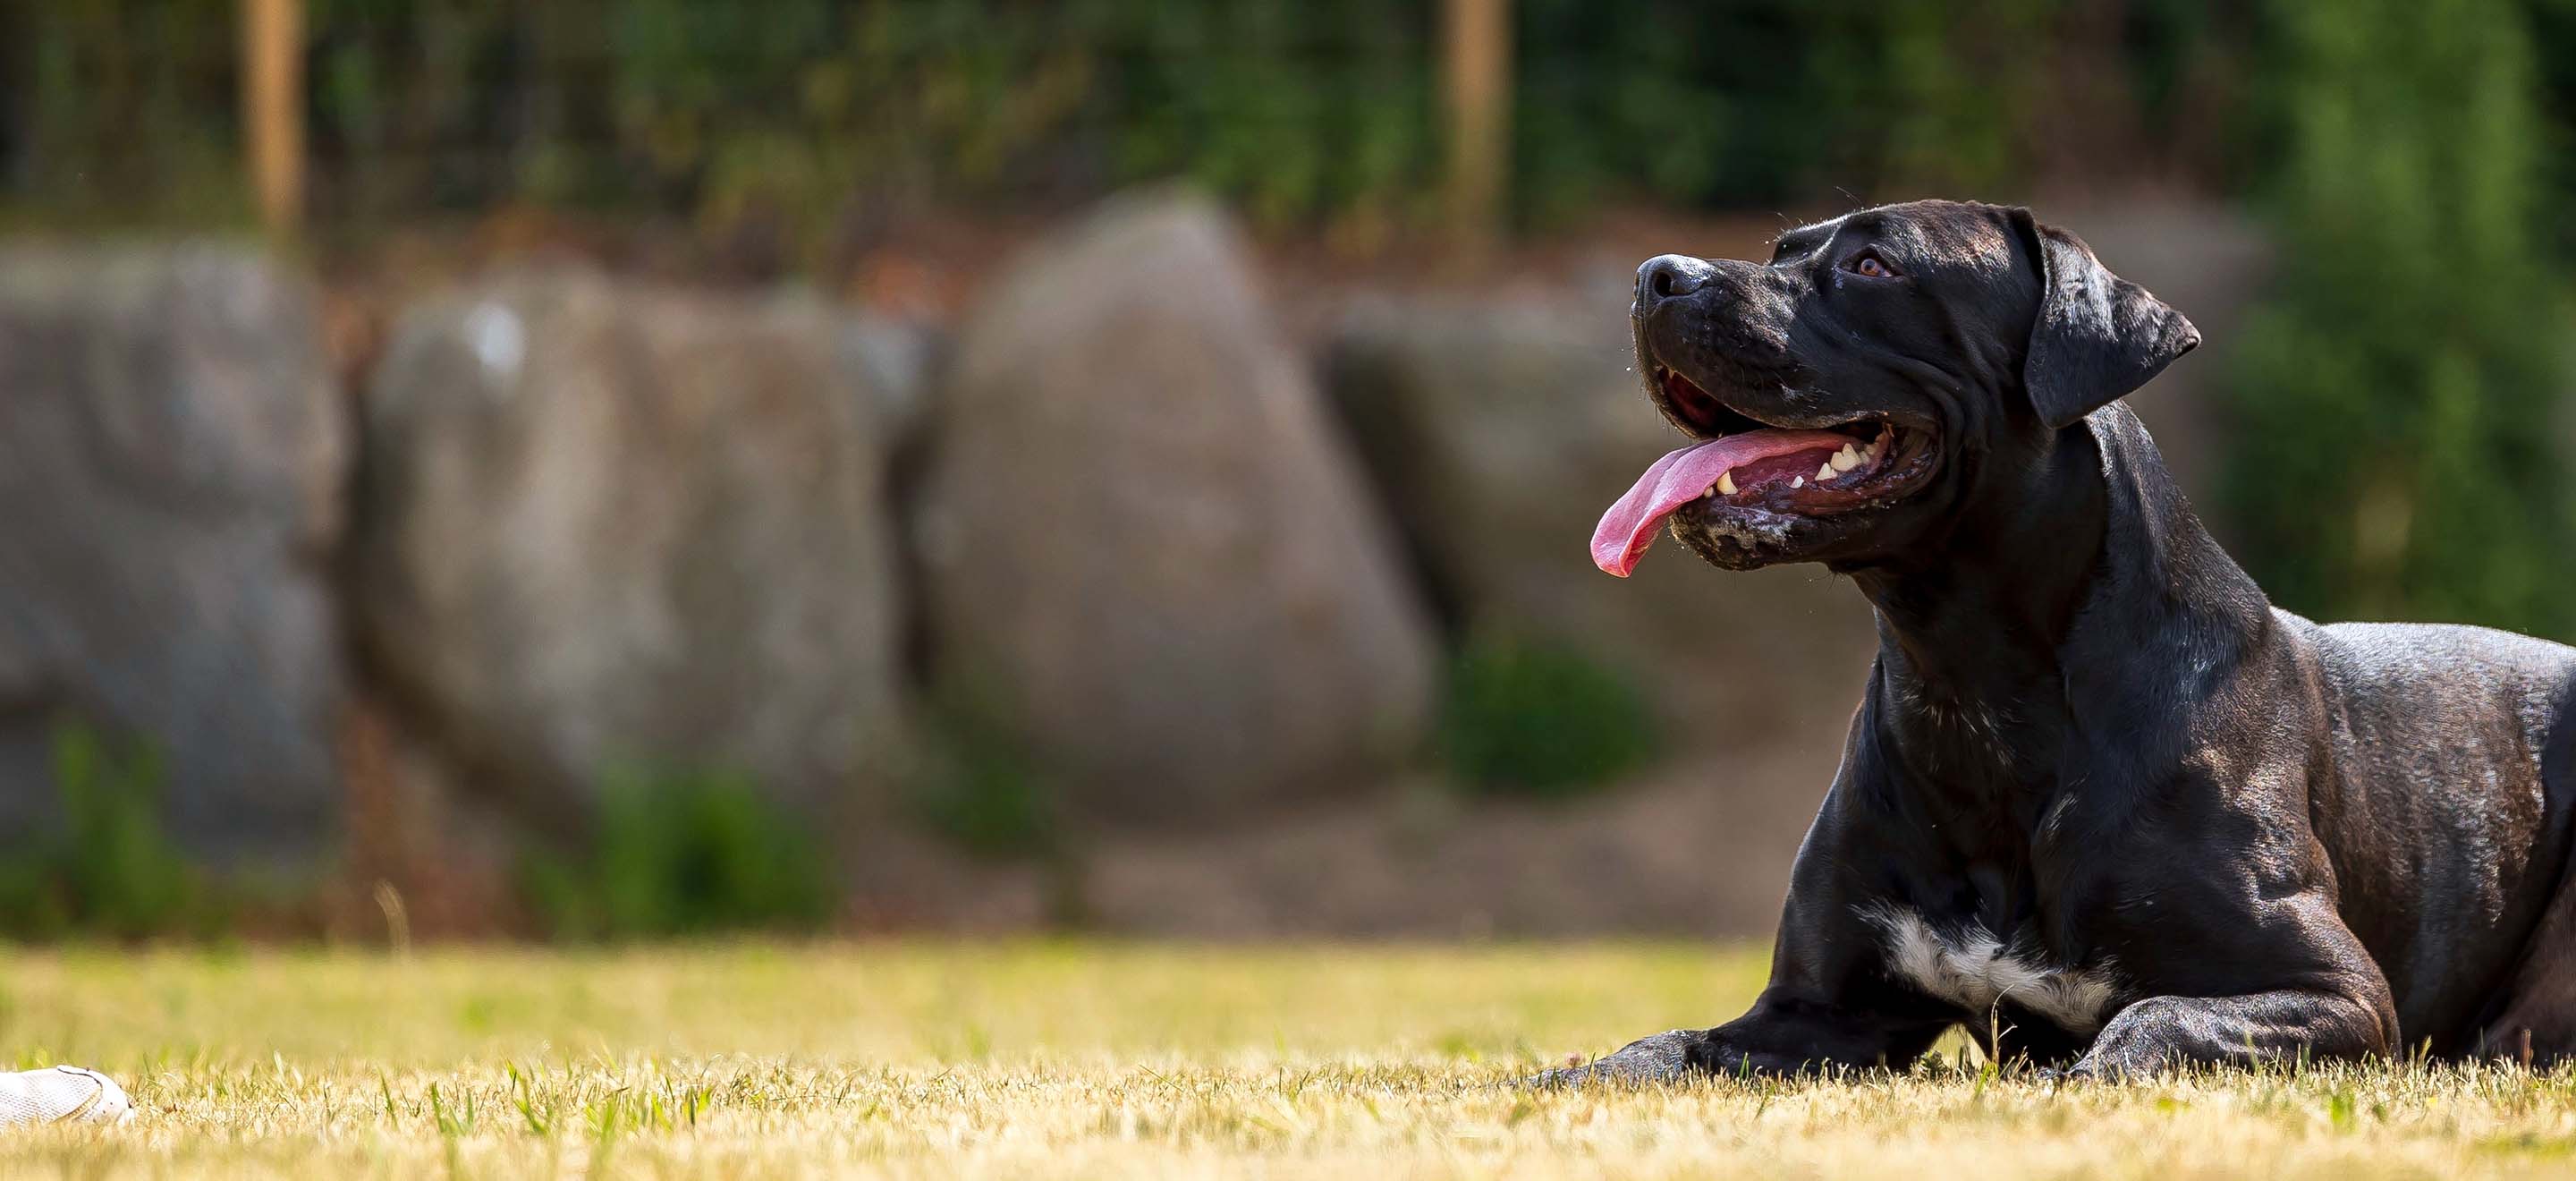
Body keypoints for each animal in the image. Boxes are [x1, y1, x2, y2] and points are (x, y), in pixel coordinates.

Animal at [1546, 200, 2576, 1077]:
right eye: (1781, 251)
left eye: (1873, 265)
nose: (1655, 276)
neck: (1972, 686)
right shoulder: (1814, 1010)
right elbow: (1657, 1049)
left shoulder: (2333, 990)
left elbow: (2148, 1023)